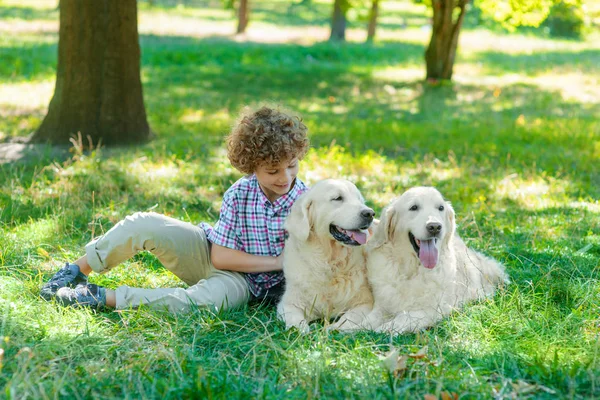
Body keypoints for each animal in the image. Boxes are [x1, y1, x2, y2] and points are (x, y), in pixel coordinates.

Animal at [278, 180, 372, 332]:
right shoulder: (288, 303)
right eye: (338, 198)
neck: (330, 261)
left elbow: (348, 318)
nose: (370, 213)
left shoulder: (366, 303)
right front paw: (303, 330)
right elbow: (296, 321)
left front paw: (332, 328)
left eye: (359, 200)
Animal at [358, 187, 508, 334]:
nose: (435, 227)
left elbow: (406, 316)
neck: (411, 270)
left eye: (440, 208)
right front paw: (357, 328)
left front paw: (387, 327)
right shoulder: (383, 304)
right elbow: (369, 319)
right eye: (414, 207)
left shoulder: (437, 308)